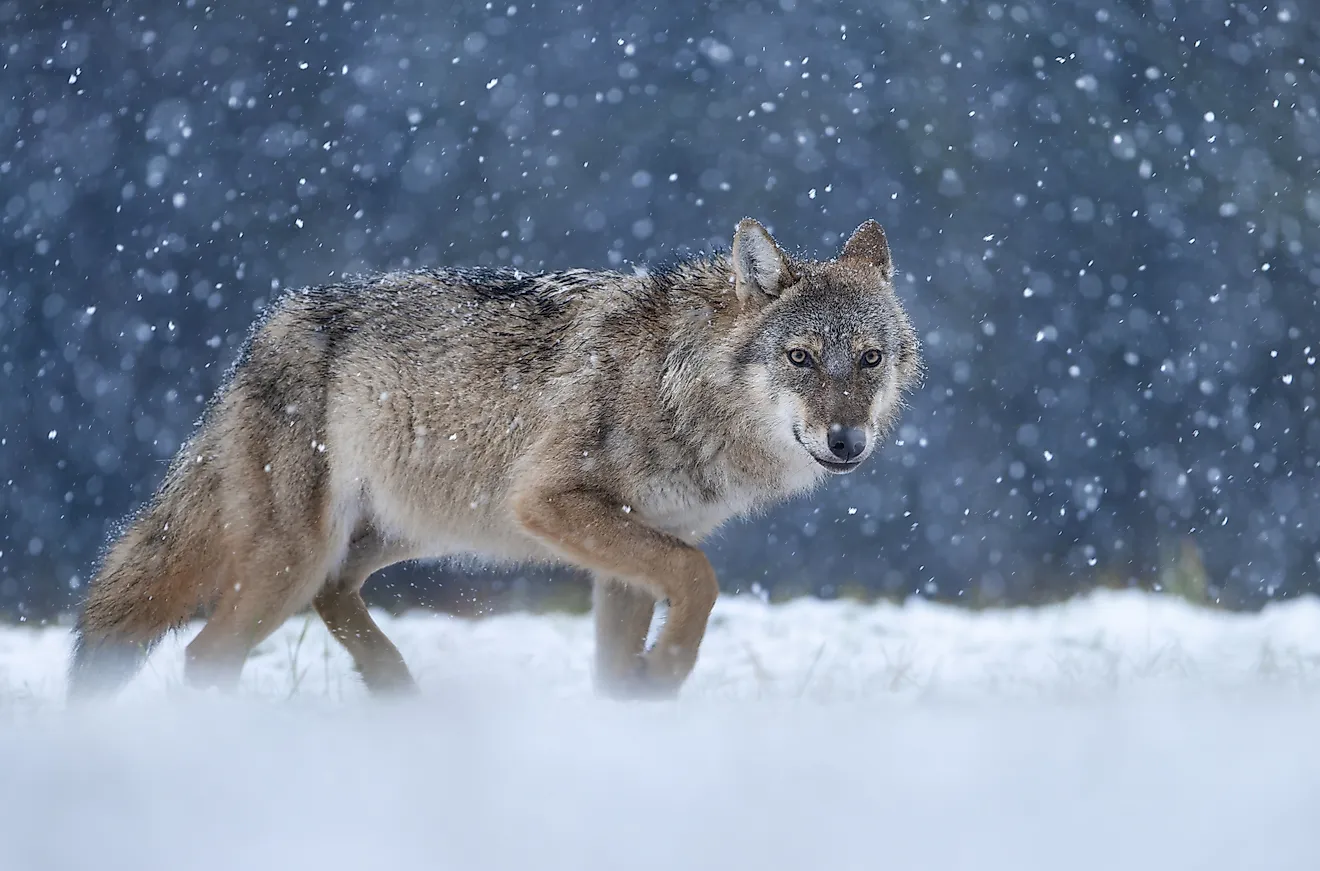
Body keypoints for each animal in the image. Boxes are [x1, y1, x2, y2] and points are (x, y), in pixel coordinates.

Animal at [68, 217, 921, 700]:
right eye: (801, 357)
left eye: (869, 358)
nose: (846, 441)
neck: (676, 381)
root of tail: (264, 333)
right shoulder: (548, 503)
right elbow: (700, 578)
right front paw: (668, 670)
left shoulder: (628, 554)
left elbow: (623, 662)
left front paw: (642, 703)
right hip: (297, 557)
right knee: (205, 656)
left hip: (394, 536)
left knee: (332, 596)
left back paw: (398, 692)